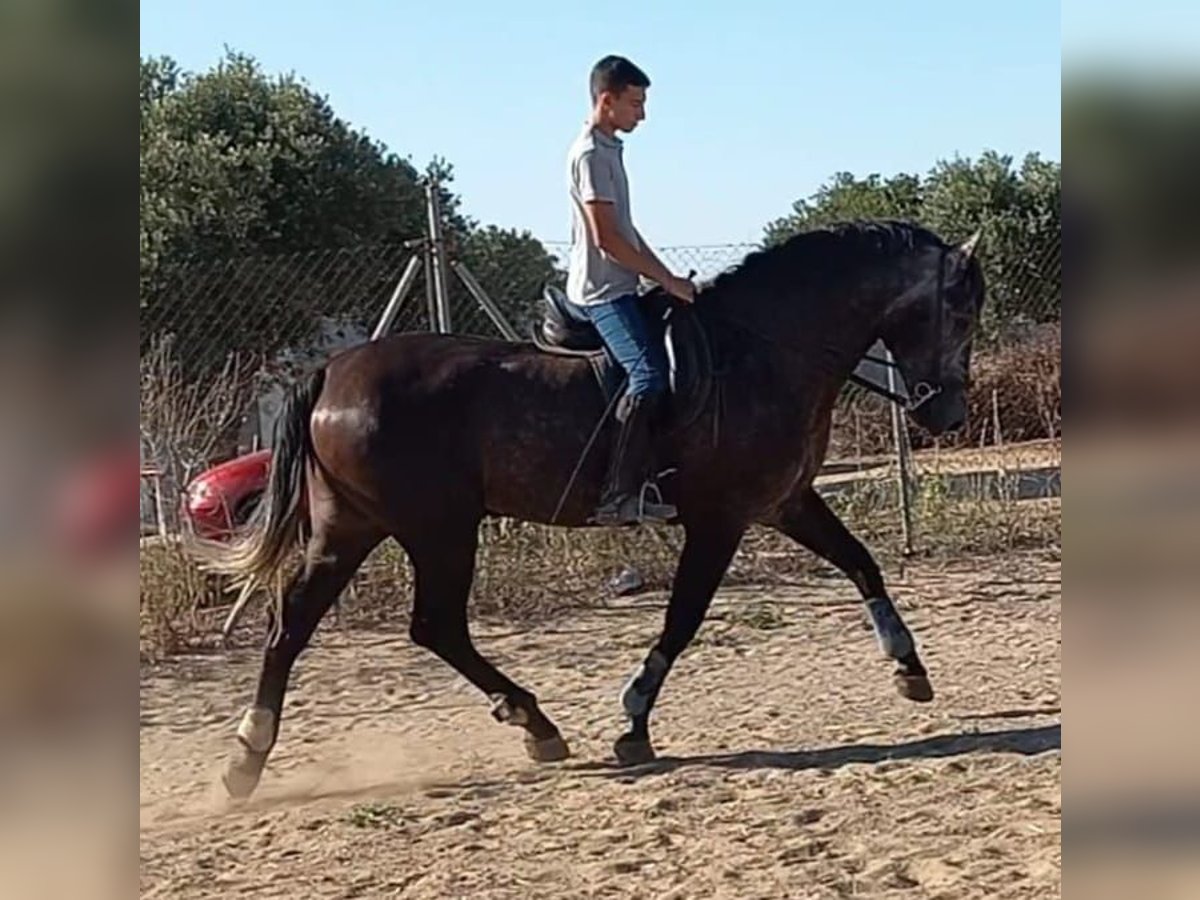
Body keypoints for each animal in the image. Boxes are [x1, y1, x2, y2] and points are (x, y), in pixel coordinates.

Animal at [204, 220, 984, 801]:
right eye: (961, 311)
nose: (946, 412)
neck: (765, 349)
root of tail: (333, 370)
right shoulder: (721, 518)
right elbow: (683, 618)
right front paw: (633, 726)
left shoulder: (785, 502)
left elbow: (862, 562)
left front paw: (909, 668)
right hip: (437, 529)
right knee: (430, 625)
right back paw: (533, 724)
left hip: (354, 527)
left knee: (294, 626)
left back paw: (247, 761)